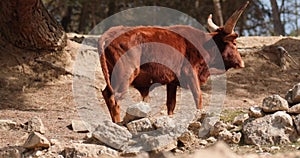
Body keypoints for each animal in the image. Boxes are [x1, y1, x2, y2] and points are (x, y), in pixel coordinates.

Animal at [98, 1, 248, 122]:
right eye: (234, 43)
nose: (241, 63)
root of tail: (111, 32)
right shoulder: (190, 73)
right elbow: (198, 98)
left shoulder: (172, 82)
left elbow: (171, 104)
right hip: (125, 74)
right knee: (114, 97)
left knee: (106, 93)